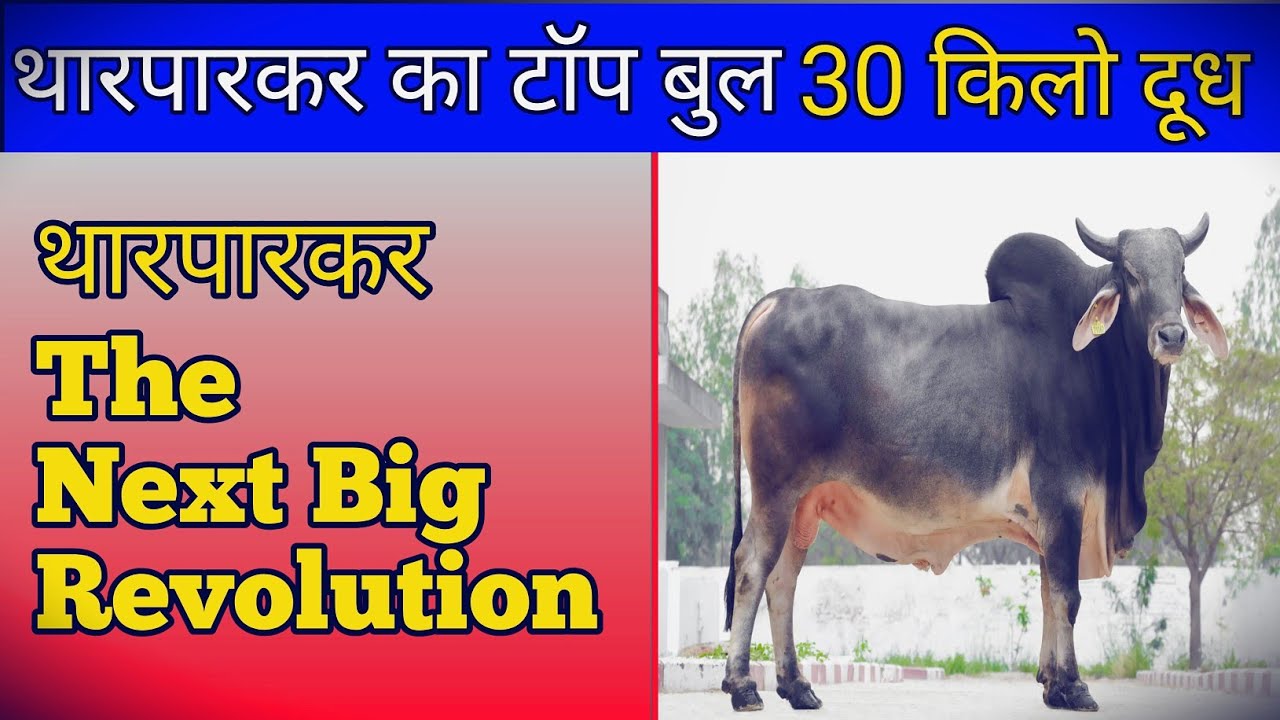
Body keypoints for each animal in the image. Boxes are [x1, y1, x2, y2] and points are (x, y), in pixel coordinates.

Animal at [721, 216, 1229, 712]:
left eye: (1181, 271)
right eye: (1129, 274)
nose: (1171, 335)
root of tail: (777, 300)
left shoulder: (1048, 518)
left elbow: (1047, 593)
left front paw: (1051, 684)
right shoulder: (1063, 499)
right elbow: (1067, 596)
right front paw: (1074, 686)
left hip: (803, 503)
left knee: (783, 579)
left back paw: (796, 686)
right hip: (775, 490)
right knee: (751, 567)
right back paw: (743, 686)